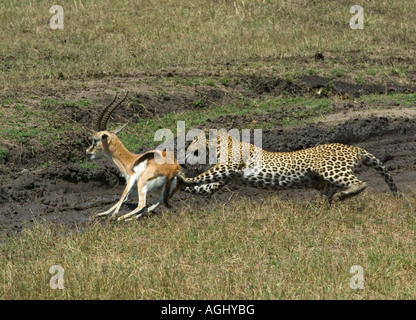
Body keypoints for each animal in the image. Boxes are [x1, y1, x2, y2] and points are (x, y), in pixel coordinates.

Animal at [179, 129, 400, 201]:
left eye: (194, 139)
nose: (186, 147)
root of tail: (355, 148)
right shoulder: (223, 176)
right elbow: (205, 187)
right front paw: (181, 184)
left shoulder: (227, 167)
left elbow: (202, 177)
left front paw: (183, 177)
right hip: (323, 181)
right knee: (329, 193)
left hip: (330, 168)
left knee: (361, 183)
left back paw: (344, 195)